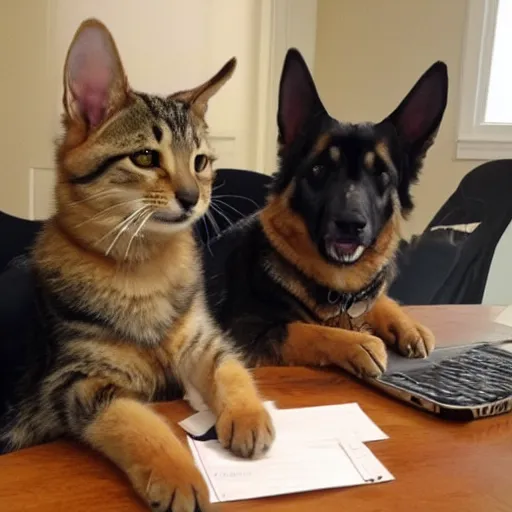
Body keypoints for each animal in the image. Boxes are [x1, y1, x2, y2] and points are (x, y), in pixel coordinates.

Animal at [1, 18, 276, 510]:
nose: (192, 197)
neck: (145, 266)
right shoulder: (79, 384)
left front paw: (248, 414)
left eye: (200, 161)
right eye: (145, 157)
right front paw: (179, 473)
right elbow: (140, 423)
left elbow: (230, 368)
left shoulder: (201, 341)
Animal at [206, 50, 446, 378]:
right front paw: (358, 343)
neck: (338, 291)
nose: (351, 224)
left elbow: (376, 299)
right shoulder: (244, 331)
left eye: (381, 174)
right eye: (319, 169)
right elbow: (301, 328)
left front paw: (405, 322)